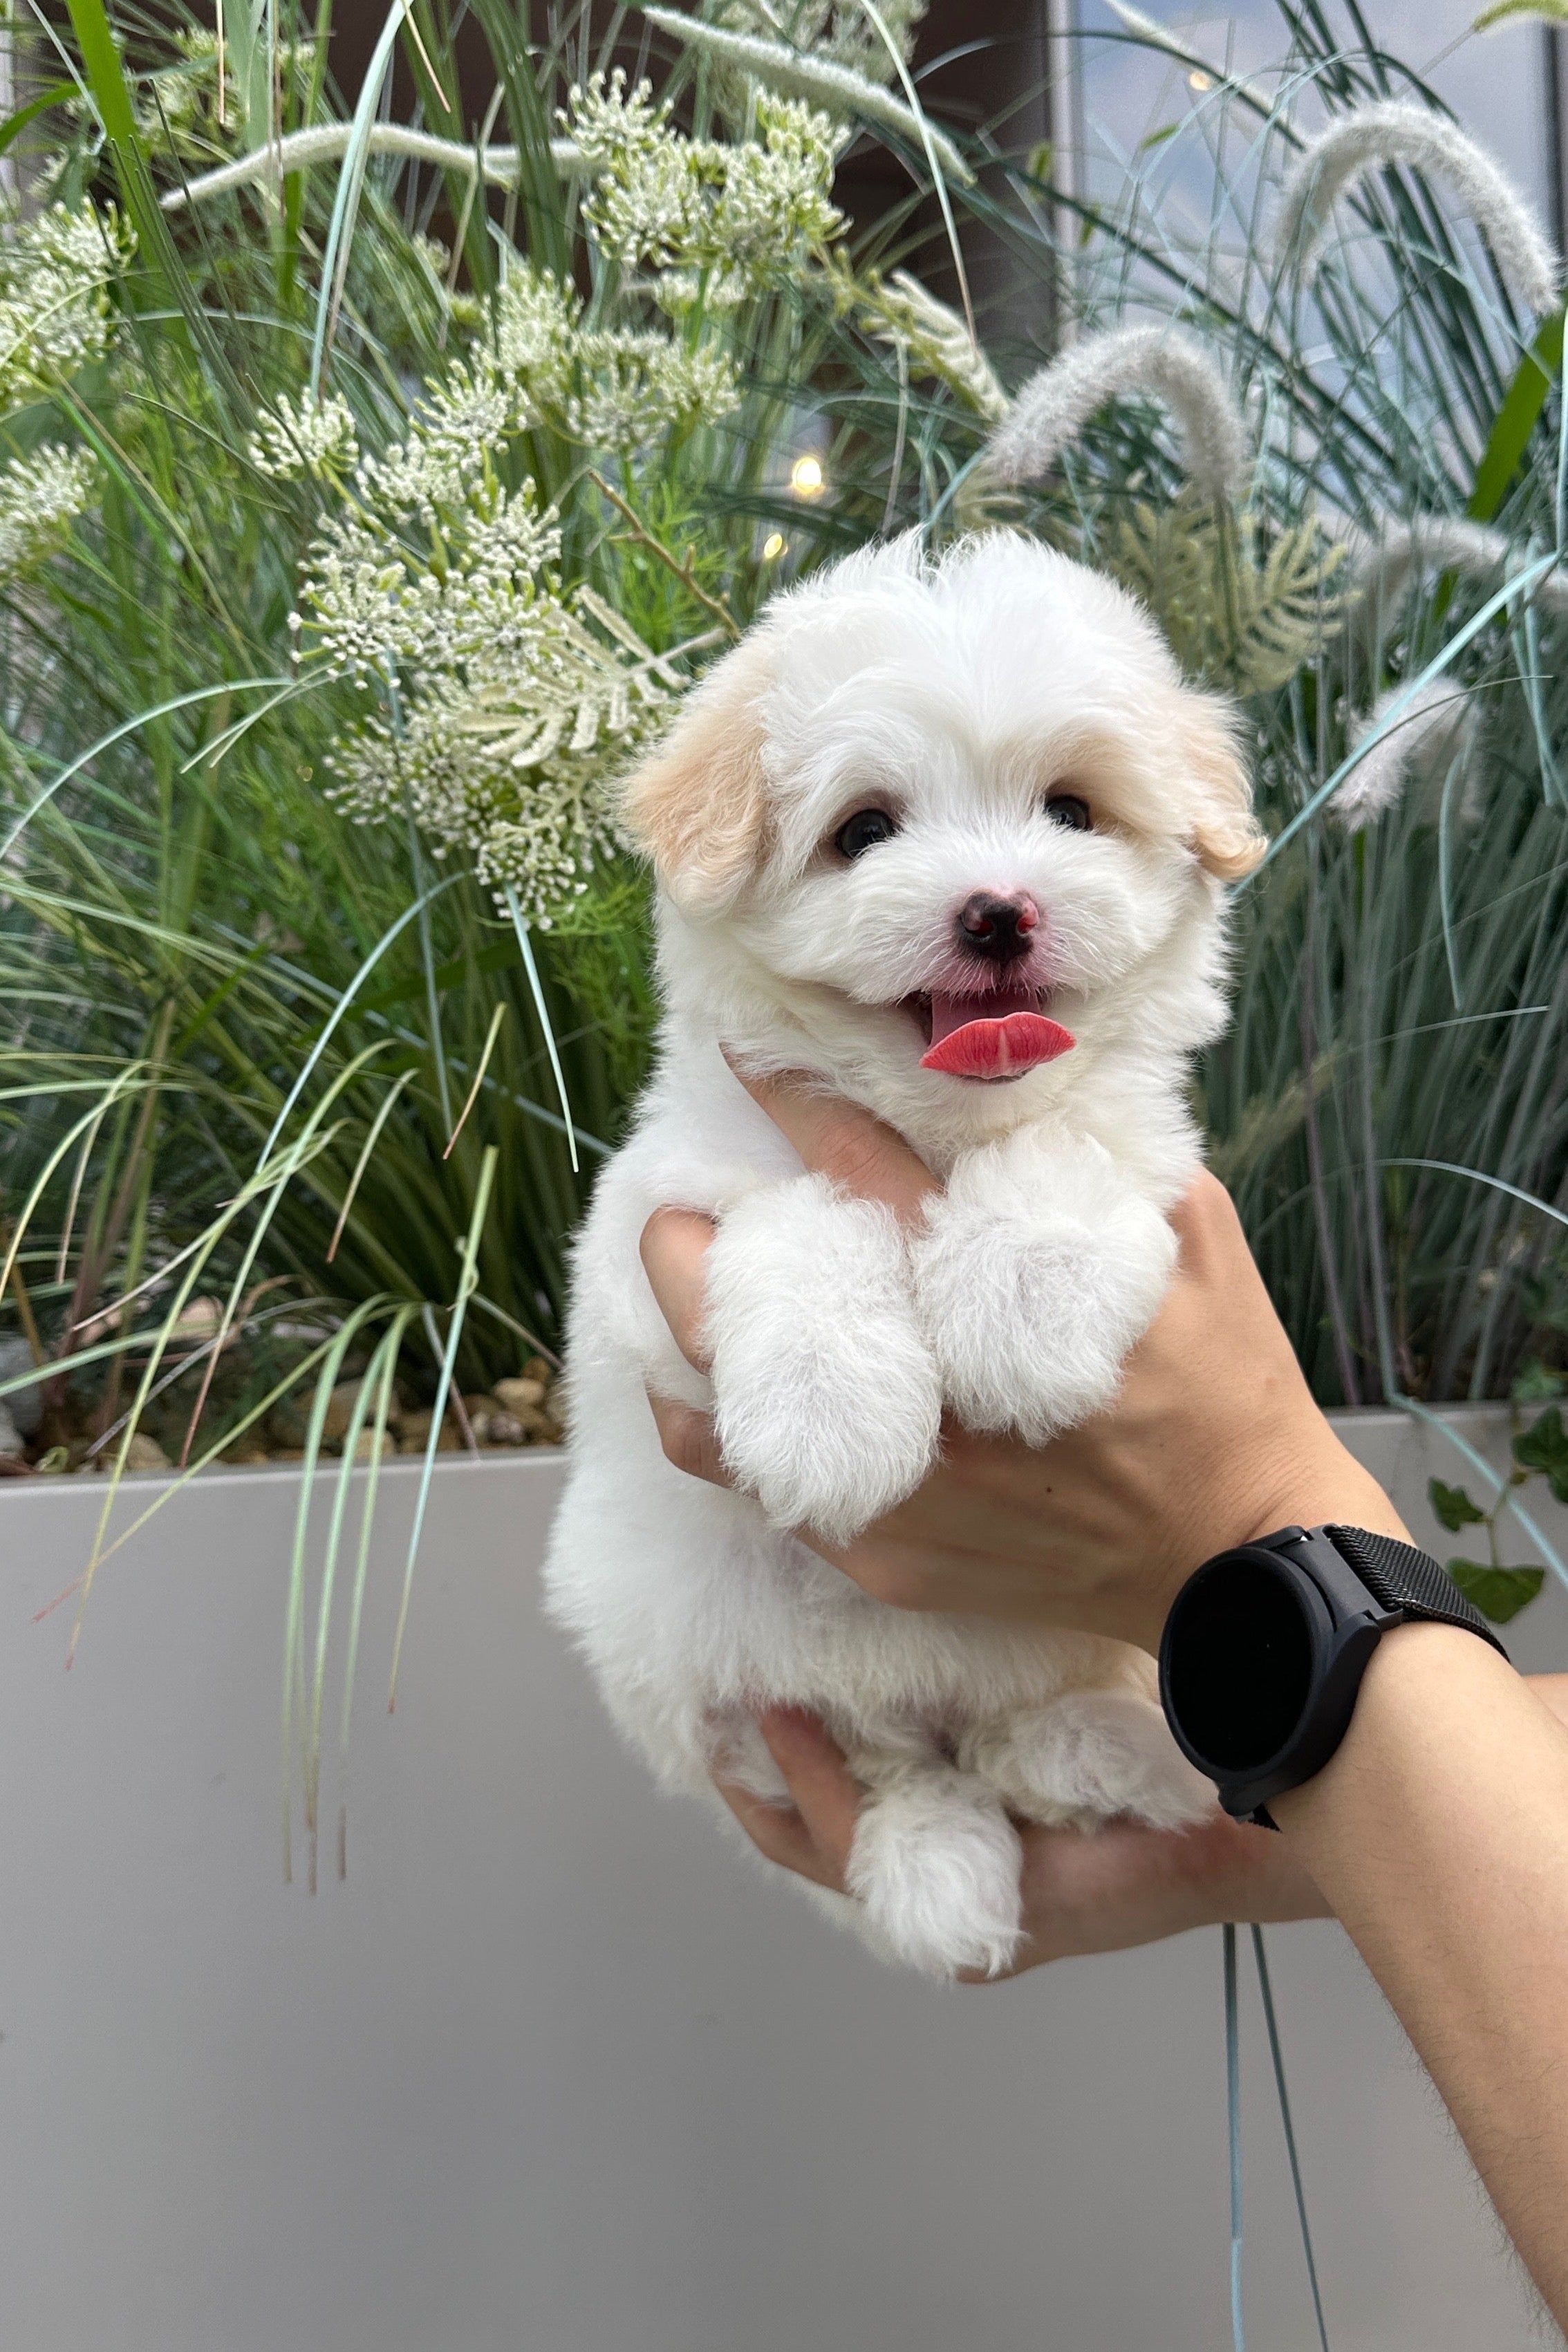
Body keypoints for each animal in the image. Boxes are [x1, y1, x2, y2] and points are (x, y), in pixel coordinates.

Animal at [545, 524, 1269, 1975]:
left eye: (1070, 811)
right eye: (863, 830)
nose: (998, 912)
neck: (931, 1133)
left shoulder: (1152, 1162)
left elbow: (1065, 1150)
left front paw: (1023, 1309)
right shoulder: (645, 1241)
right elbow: (803, 1218)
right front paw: (832, 1410)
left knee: (1003, 1742)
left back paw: (1099, 1751)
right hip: (693, 1670)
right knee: (891, 1758)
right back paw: (941, 1849)